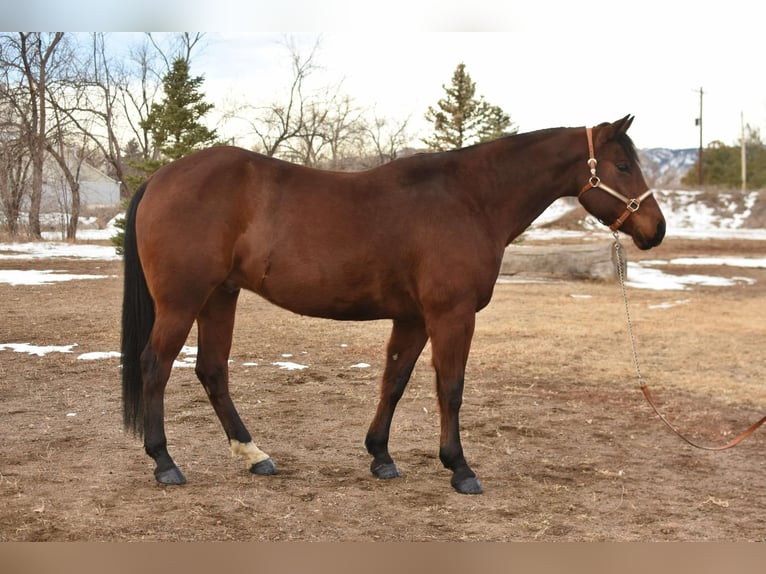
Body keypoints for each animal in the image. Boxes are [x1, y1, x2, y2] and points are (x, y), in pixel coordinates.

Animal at [121, 115, 665, 494]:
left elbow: (395, 382)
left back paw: (254, 454)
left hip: (220, 296)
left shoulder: (413, 318)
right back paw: (165, 463)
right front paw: (459, 468)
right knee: (155, 366)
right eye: (622, 166)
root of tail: (160, 179)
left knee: (212, 370)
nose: (655, 229)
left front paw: (380, 457)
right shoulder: (451, 315)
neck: (469, 199)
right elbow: (451, 389)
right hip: (182, 301)